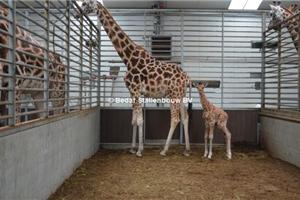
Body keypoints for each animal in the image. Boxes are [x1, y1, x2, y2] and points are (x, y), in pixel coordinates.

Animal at [77, 0, 190, 156]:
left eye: (86, 3)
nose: (77, 14)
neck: (128, 58)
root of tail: (186, 77)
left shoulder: (136, 90)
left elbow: (140, 120)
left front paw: (140, 150)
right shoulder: (132, 92)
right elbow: (134, 120)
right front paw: (132, 147)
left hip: (173, 95)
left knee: (175, 119)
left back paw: (164, 150)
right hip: (180, 95)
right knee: (185, 117)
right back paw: (187, 149)